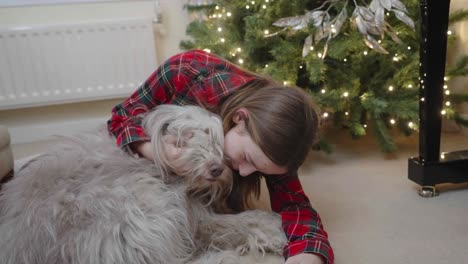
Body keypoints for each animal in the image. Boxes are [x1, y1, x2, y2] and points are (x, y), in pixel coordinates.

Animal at [0, 105, 286, 264]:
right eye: (185, 136)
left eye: (217, 138)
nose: (216, 168)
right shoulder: (186, 215)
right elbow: (236, 223)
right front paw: (272, 232)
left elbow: (240, 220)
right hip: (147, 212)